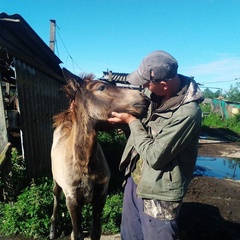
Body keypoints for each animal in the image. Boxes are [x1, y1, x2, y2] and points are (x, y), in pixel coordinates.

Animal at [49, 68, 149, 240]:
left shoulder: (100, 197)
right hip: (57, 181)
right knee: (56, 196)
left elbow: (95, 231)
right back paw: (52, 229)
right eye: (101, 87)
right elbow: (77, 234)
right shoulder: (72, 200)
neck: (85, 164)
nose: (144, 99)